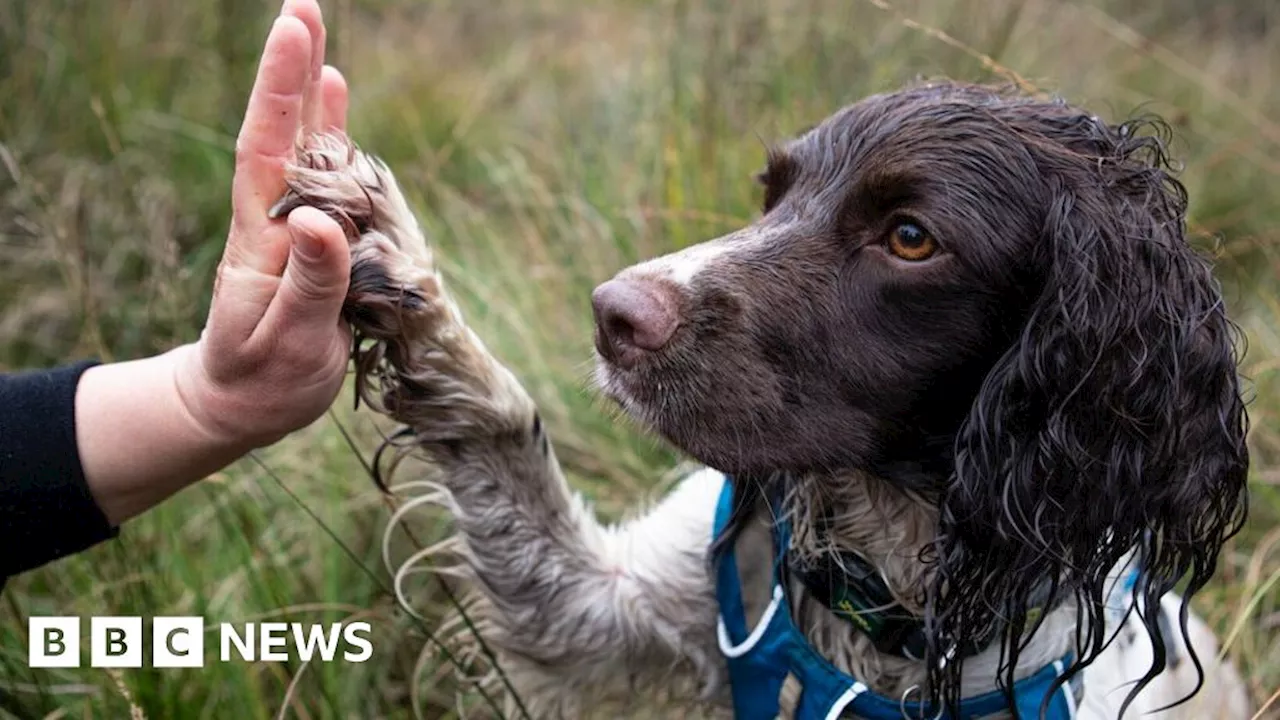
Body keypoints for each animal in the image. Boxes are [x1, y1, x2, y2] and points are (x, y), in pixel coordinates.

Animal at [272, 81, 1249, 712]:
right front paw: (391, 254)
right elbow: (499, 420)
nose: (612, 314)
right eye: (774, 192)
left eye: (910, 237)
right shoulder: (602, 614)